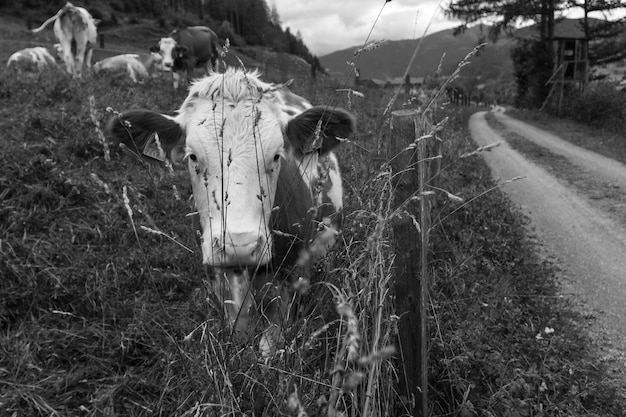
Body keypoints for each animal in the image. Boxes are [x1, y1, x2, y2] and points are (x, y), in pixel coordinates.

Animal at [105, 68, 354, 354]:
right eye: (192, 156)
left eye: (277, 155)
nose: (240, 245)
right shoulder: (219, 274)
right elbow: (237, 329)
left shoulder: (293, 273)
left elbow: (270, 343)